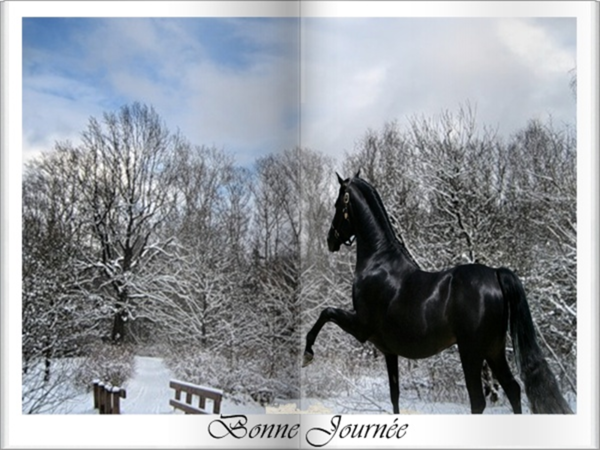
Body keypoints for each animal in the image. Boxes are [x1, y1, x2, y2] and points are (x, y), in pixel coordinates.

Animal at [304, 172, 572, 414]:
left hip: (471, 351)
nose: (330, 240)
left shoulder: (360, 327)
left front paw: (307, 354)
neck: (378, 261)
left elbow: (325, 313)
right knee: (513, 389)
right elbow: (394, 396)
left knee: (479, 400)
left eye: (338, 204)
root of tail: (495, 274)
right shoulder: (389, 351)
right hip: (494, 349)